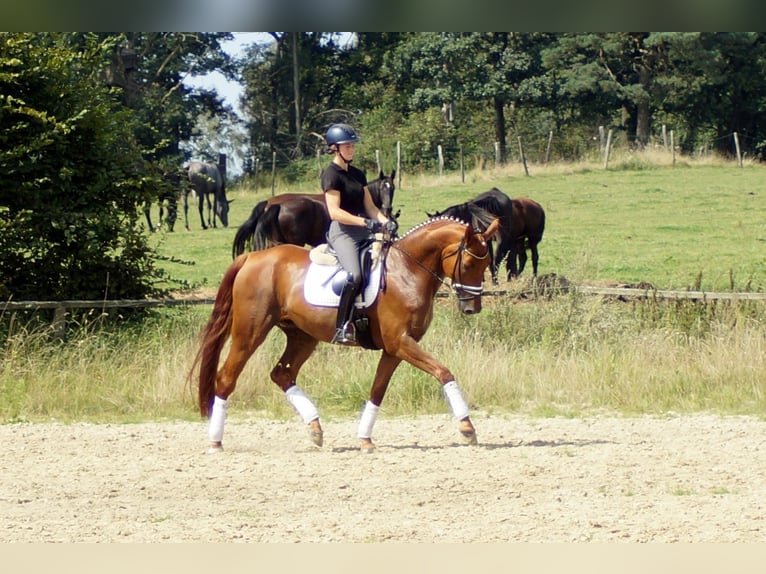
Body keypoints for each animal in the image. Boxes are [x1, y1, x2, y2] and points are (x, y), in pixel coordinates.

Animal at [192, 216, 504, 454]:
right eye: (468, 264)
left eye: (486, 264)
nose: (472, 308)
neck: (408, 270)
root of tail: (251, 257)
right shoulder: (400, 343)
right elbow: (443, 372)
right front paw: (467, 427)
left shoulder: (394, 349)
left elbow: (377, 391)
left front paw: (365, 439)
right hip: (251, 332)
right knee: (226, 378)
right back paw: (215, 442)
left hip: (303, 336)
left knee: (282, 374)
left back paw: (315, 429)